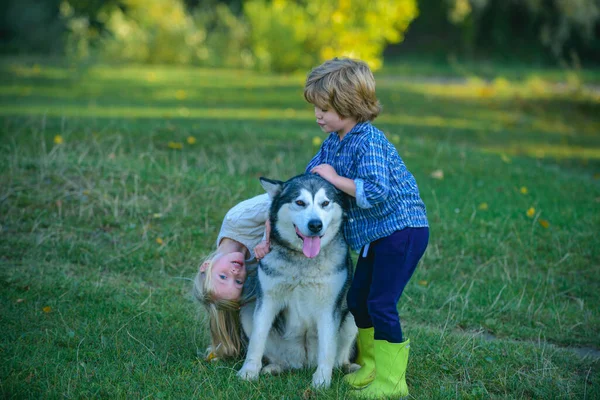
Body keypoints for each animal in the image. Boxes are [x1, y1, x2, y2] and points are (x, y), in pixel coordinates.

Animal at [236, 174, 356, 388]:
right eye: (300, 202)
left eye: (325, 203)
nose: (315, 224)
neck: (303, 261)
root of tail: (303, 363)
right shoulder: (267, 300)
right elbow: (257, 340)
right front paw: (248, 372)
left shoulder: (328, 307)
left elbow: (327, 347)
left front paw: (322, 381)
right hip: (247, 312)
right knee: (279, 358)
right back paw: (274, 367)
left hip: (353, 315)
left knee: (339, 358)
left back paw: (347, 367)